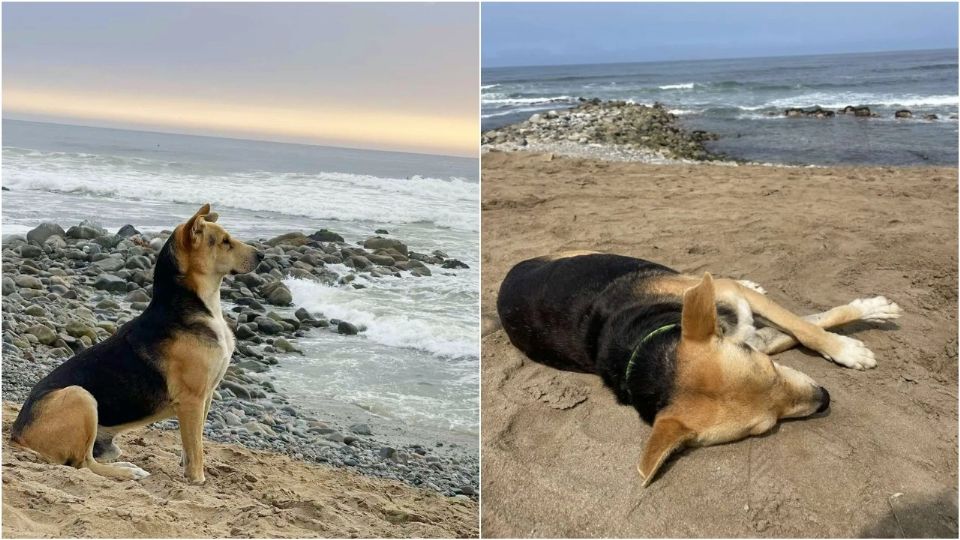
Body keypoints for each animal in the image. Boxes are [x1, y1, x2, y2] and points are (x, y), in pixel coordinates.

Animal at [10, 205, 262, 484]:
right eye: (225, 241)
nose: (262, 255)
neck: (194, 305)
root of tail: (17, 434)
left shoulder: (205, 396)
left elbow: (191, 444)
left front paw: (187, 468)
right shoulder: (193, 400)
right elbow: (196, 447)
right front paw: (198, 479)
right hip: (80, 396)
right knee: (84, 464)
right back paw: (128, 471)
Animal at [496, 252, 900, 486]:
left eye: (771, 369)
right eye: (764, 428)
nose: (825, 398)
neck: (647, 344)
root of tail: (511, 271)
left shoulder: (744, 321)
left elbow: (806, 326)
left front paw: (854, 336)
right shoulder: (755, 337)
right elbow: (805, 325)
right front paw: (850, 340)